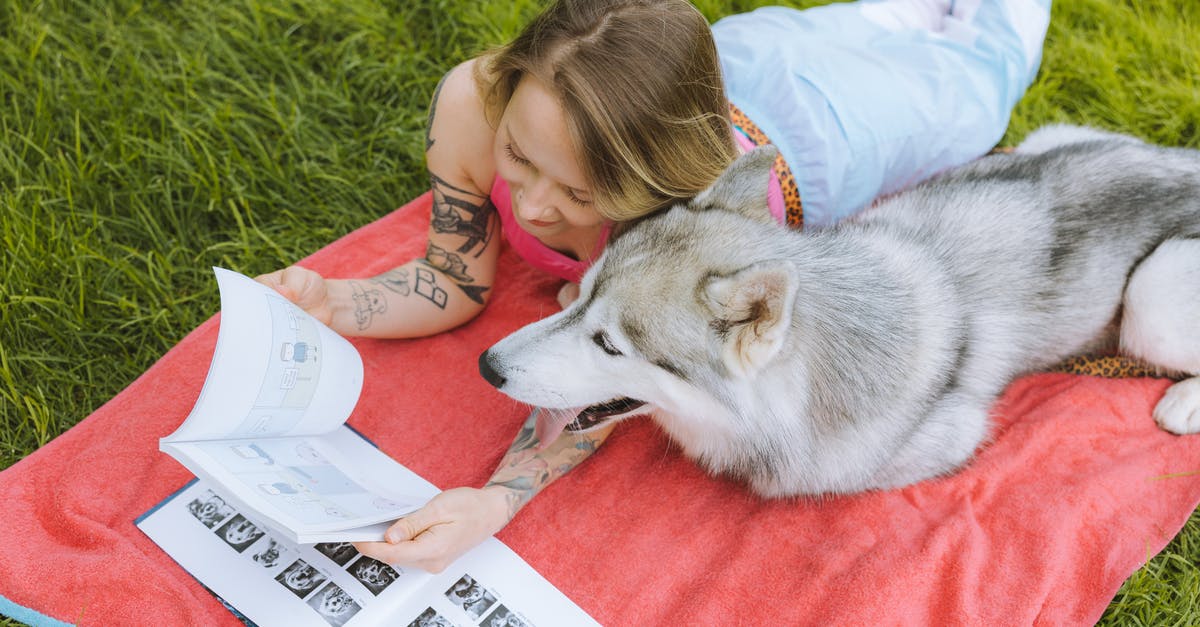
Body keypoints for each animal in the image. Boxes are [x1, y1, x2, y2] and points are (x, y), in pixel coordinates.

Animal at [477, 125, 1200, 497]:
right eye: (587, 295)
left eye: (609, 345)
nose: (486, 366)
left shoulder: (946, 441)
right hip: (1035, 141)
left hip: (1151, 295)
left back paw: (1183, 402)